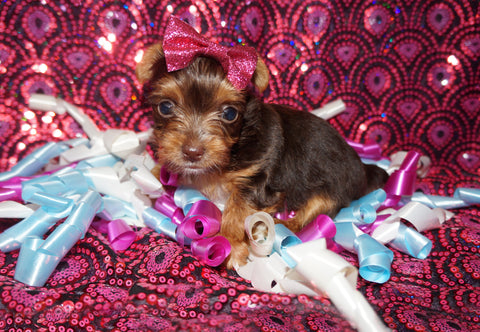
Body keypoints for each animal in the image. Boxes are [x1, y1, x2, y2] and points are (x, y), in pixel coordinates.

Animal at [134, 16, 386, 268]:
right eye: (165, 107)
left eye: (230, 113)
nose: (192, 152)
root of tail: (362, 167)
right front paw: (153, 173)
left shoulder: (258, 178)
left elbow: (239, 207)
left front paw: (228, 243)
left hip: (332, 186)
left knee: (316, 211)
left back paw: (281, 225)